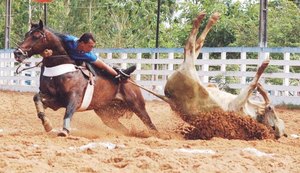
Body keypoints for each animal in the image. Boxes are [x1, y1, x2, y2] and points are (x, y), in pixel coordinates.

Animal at [13, 19, 157, 137]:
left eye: (36, 36)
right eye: (26, 34)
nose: (17, 53)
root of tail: (129, 79)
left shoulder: (74, 97)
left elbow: (68, 112)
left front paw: (64, 130)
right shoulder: (55, 99)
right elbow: (37, 98)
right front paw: (47, 124)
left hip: (137, 105)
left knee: (150, 124)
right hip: (106, 114)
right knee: (124, 130)